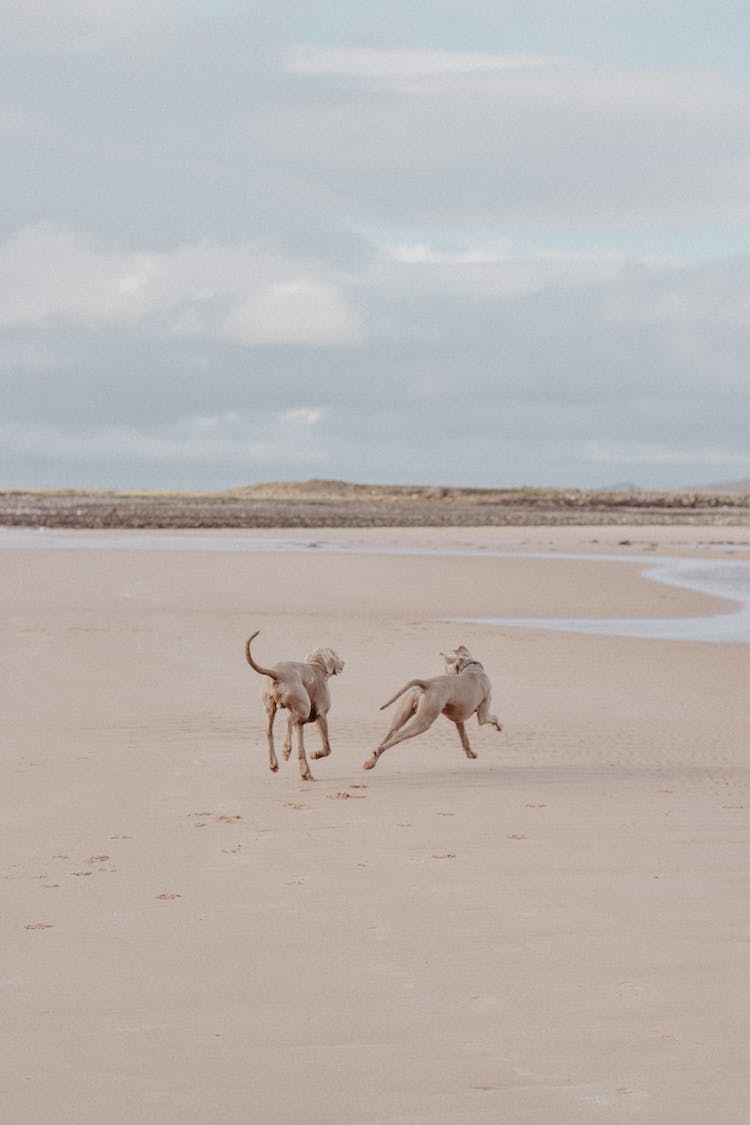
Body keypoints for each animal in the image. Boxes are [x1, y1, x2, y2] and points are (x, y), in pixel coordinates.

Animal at [362, 648, 501, 769]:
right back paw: (377, 752)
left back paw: (370, 762)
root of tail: (427, 684)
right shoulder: (483, 716)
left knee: (389, 733)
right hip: (424, 721)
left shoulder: (459, 720)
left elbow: (464, 739)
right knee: (398, 735)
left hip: (402, 715)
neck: (472, 669)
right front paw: (499, 726)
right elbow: (494, 717)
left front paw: (471, 754)